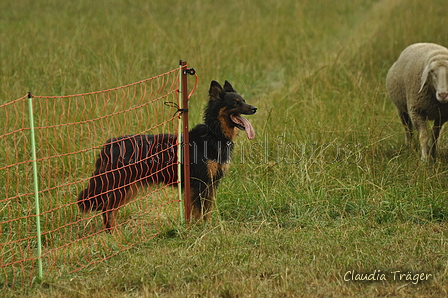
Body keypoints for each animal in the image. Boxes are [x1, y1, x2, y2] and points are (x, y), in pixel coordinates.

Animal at [78, 80, 256, 232]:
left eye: (243, 100)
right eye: (236, 103)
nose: (254, 108)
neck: (214, 134)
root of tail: (109, 145)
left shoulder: (211, 183)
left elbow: (207, 210)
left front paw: (207, 227)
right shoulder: (199, 183)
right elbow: (198, 211)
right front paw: (199, 229)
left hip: (128, 187)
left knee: (109, 208)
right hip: (120, 185)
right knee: (107, 208)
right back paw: (113, 233)